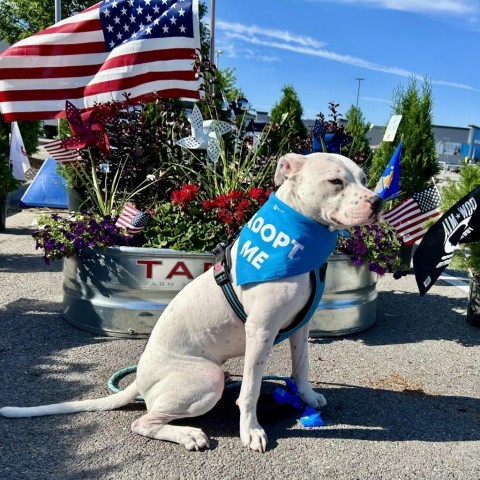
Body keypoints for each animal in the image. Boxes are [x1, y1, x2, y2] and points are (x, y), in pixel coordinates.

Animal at [0, 155, 382, 454]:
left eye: (364, 179)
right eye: (335, 181)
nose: (378, 201)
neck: (301, 239)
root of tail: (141, 377)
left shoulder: (301, 326)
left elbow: (301, 367)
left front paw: (307, 397)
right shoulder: (261, 331)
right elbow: (251, 389)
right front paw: (251, 431)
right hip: (206, 378)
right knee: (144, 421)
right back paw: (188, 435)